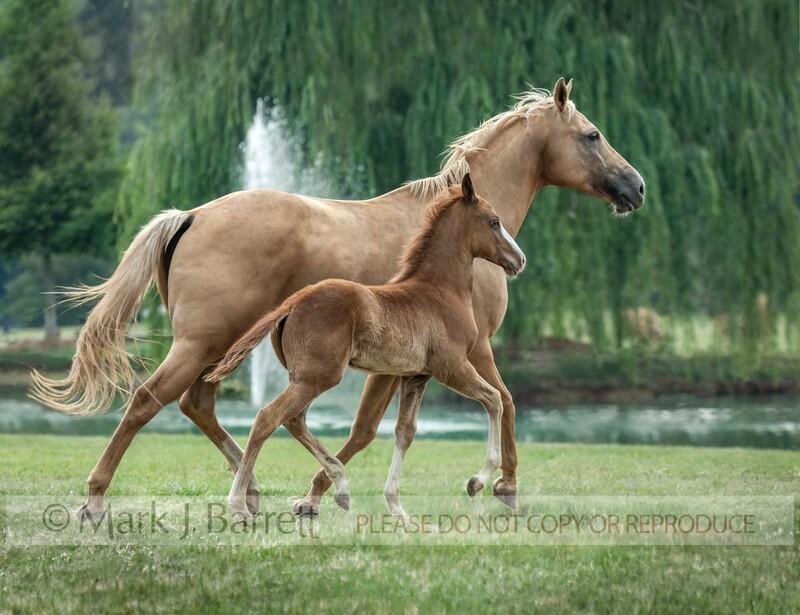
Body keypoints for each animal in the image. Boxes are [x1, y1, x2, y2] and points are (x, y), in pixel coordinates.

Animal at [206, 173, 526, 520]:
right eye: (494, 221)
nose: (519, 260)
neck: (439, 292)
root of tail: (295, 300)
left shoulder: (416, 376)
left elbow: (405, 432)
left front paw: (398, 509)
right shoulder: (451, 366)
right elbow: (494, 400)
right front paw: (476, 481)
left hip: (307, 376)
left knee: (294, 419)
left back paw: (341, 486)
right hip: (319, 376)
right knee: (269, 417)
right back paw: (240, 504)